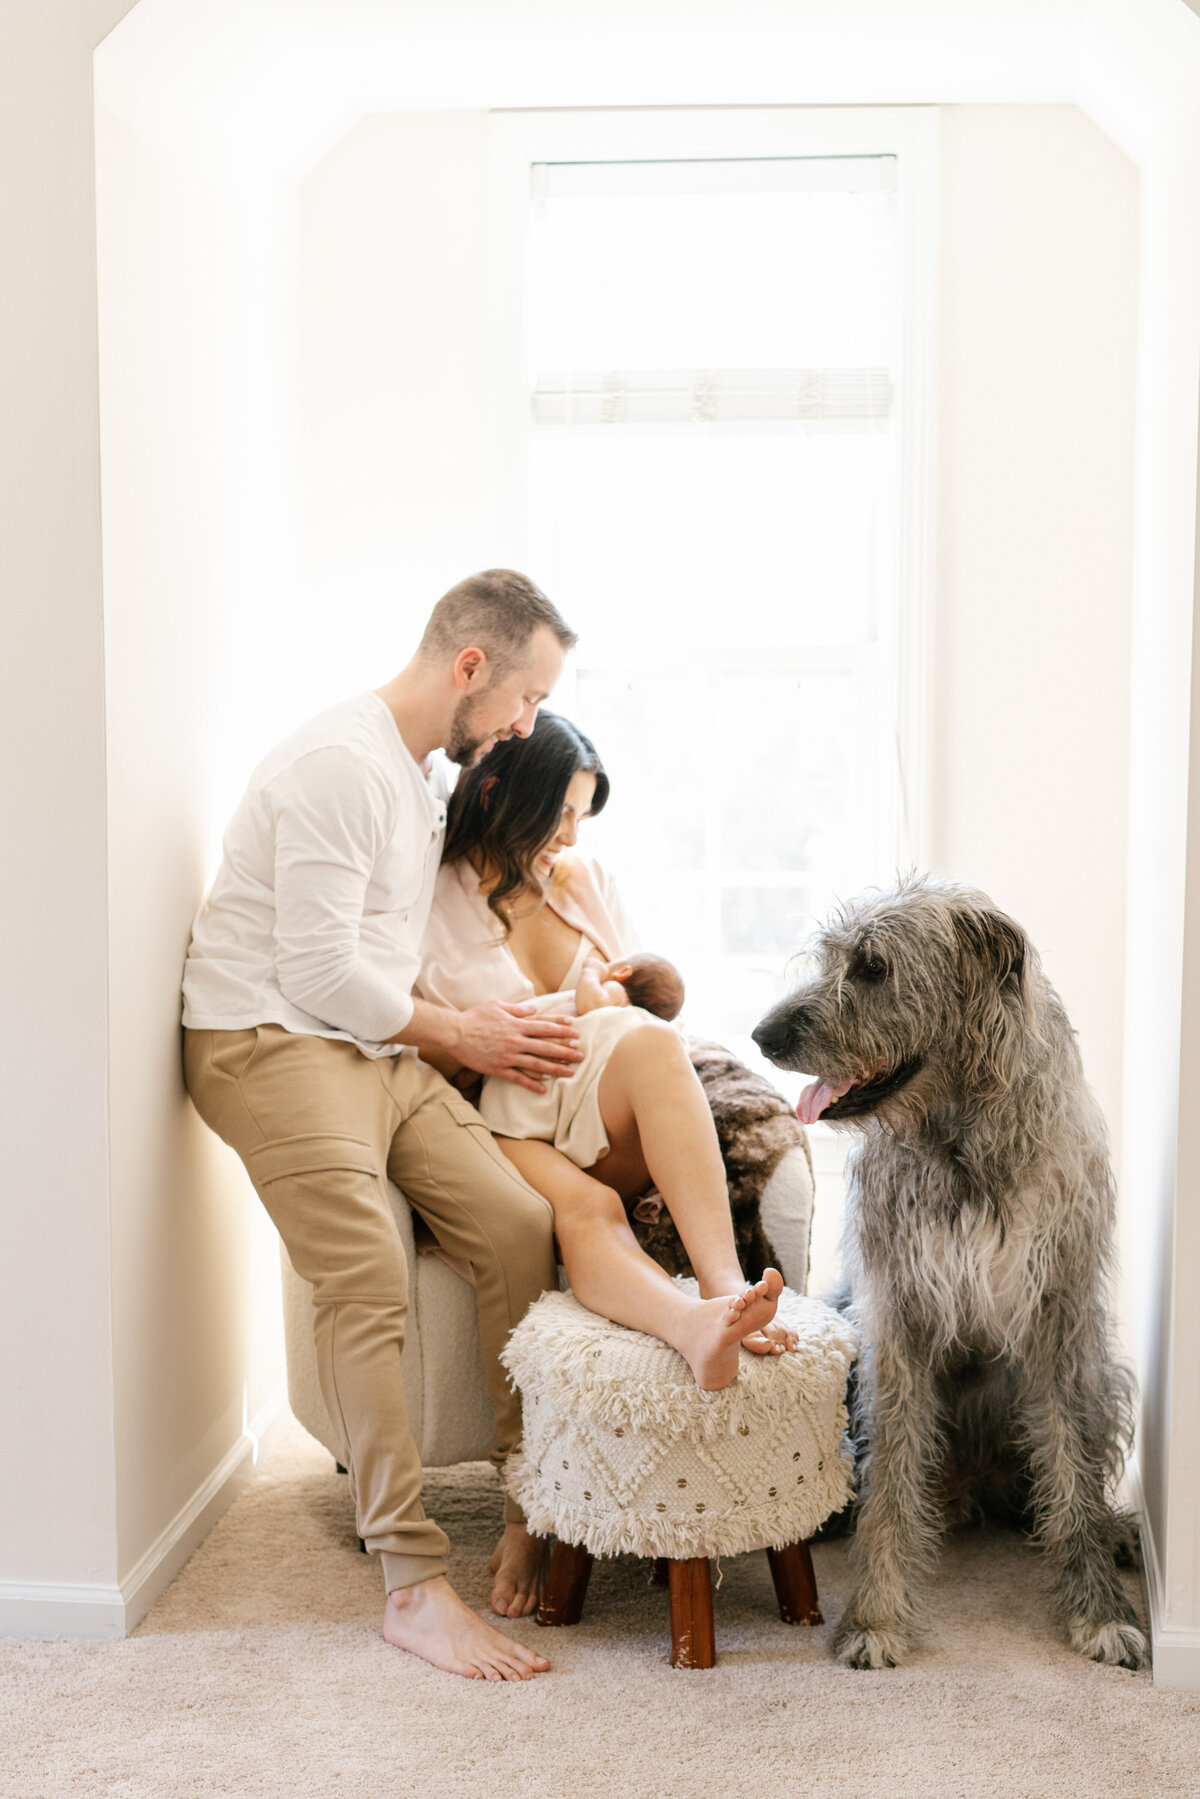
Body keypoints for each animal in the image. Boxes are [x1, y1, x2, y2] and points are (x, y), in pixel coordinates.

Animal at [752, 877, 1144, 1662]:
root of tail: (974, 1489)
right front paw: (875, 1614)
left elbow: (1073, 1461)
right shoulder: (895, 1307)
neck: (960, 1131)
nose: (763, 1035)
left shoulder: (1060, 1309)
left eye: (873, 966)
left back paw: (1111, 1530)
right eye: (832, 957)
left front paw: (1098, 1606)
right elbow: (893, 1466)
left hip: (1104, 1369)